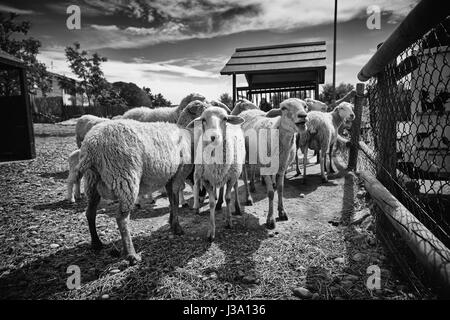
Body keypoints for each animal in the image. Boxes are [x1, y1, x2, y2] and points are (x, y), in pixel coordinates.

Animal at [76, 119, 195, 264]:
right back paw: (131, 254)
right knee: (121, 219)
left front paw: (172, 221)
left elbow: (172, 201)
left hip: (91, 182)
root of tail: (91, 146)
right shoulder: (178, 174)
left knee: (90, 212)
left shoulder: (169, 177)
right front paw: (177, 228)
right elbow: (175, 201)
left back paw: (96, 243)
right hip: (125, 178)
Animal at [185, 106, 244, 241]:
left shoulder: (231, 178)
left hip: (235, 172)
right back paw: (216, 204)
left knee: (235, 187)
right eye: (203, 120)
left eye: (225, 119)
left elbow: (228, 198)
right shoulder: (206, 179)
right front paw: (211, 231)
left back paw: (237, 207)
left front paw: (229, 221)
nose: (213, 137)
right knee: (218, 188)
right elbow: (211, 202)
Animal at [241, 99, 308, 229]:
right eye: (283, 108)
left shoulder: (282, 168)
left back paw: (252, 186)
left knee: (252, 168)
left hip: (255, 155)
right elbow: (271, 193)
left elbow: (280, 189)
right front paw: (270, 219)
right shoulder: (266, 168)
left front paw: (282, 212)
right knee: (245, 175)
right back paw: (248, 198)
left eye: (305, 106)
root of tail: (247, 111)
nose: (303, 115)